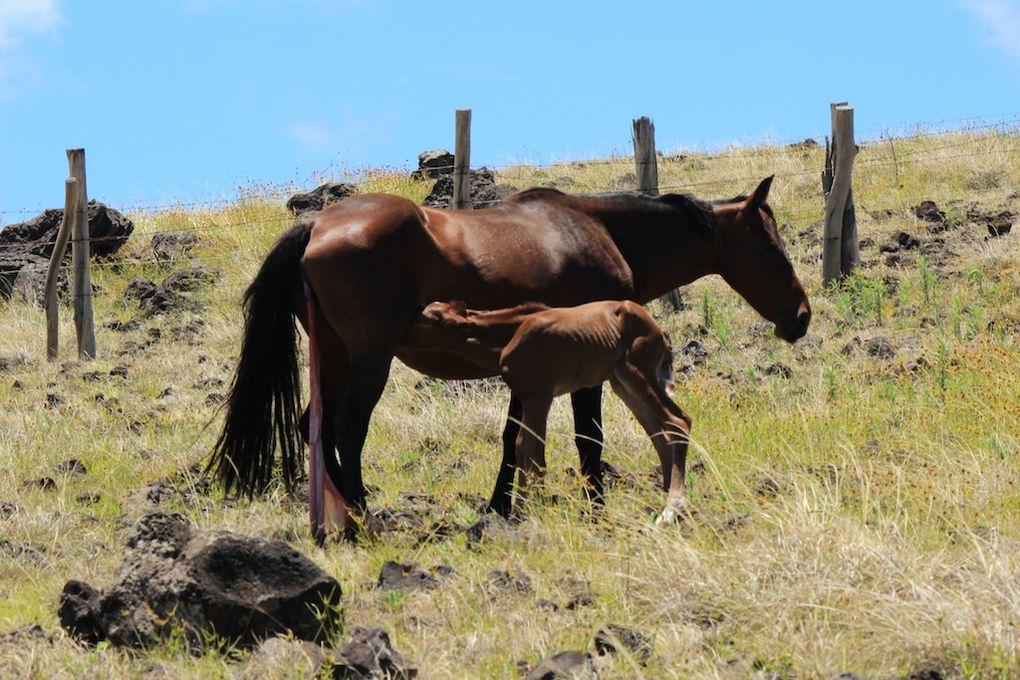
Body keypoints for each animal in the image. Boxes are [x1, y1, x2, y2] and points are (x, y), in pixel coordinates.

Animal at [405, 299, 693, 521]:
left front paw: (523, 511)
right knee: (659, 434)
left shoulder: (538, 396)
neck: (510, 335)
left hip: (637, 373)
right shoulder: (530, 398)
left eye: (427, 318)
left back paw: (671, 508)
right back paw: (663, 498)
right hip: (621, 382)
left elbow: (527, 450)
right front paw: (530, 505)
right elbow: (527, 451)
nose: (401, 330)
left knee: (678, 421)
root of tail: (660, 331)